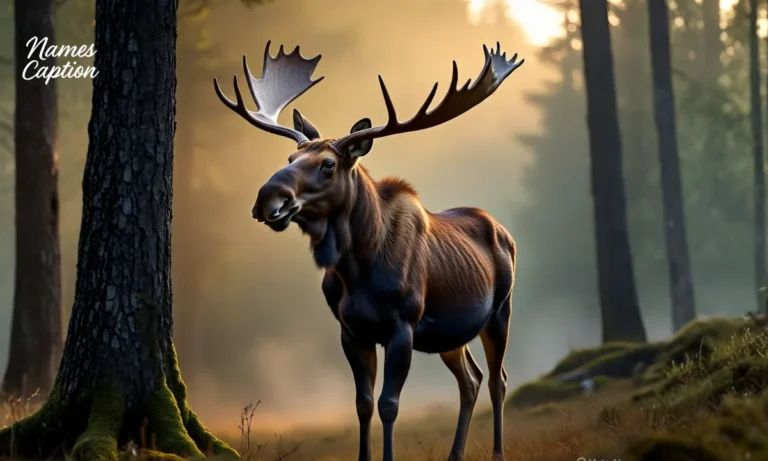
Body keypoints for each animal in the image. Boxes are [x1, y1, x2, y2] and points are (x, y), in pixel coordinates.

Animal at [213, 41, 523, 461]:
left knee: (498, 379)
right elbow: (362, 403)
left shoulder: (403, 324)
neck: (357, 266)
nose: (267, 199)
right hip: (450, 333)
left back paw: (498, 453)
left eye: (328, 164)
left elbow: (389, 404)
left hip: (500, 310)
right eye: (290, 159)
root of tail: (505, 232)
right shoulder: (351, 330)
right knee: (470, 380)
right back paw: (455, 454)